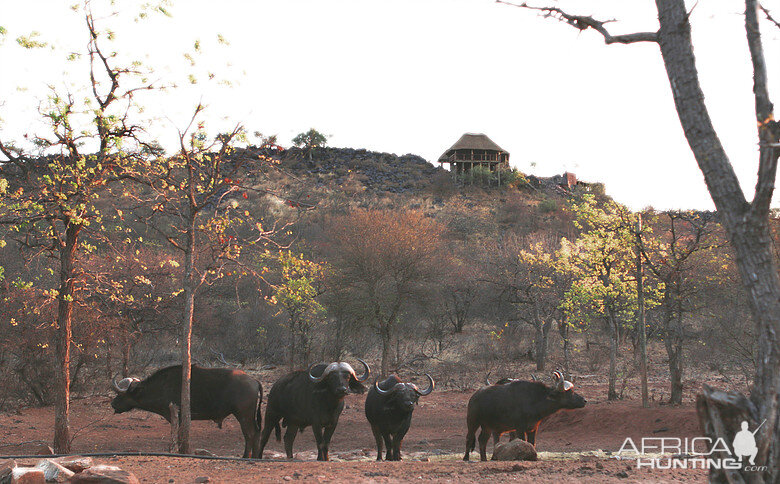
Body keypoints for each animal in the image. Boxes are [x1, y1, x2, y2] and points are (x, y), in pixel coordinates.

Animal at [109, 364, 264, 460]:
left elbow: (178, 436)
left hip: (243, 415)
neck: (161, 387)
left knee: (250, 434)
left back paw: (246, 457)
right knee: (256, 433)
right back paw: (255, 457)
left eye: (121, 394)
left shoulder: (178, 417)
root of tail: (253, 380)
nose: (113, 403)